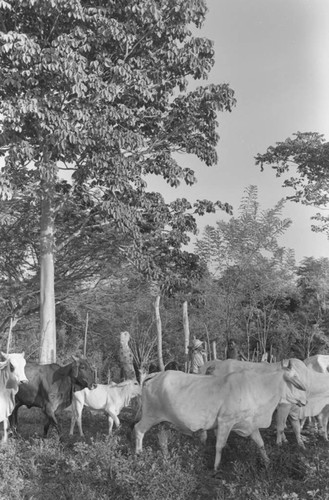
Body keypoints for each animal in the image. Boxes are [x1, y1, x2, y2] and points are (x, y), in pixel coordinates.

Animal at [133, 364, 304, 472]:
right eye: (294, 380)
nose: (304, 400)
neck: (254, 389)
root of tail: (156, 375)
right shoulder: (225, 422)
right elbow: (219, 446)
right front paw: (216, 468)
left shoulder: (249, 424)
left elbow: (260, 443)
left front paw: (267, 462)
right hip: (150, 416)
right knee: (138, 429)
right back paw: (138, 453)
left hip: (164, 422)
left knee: (162, 438)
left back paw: (166, 456)